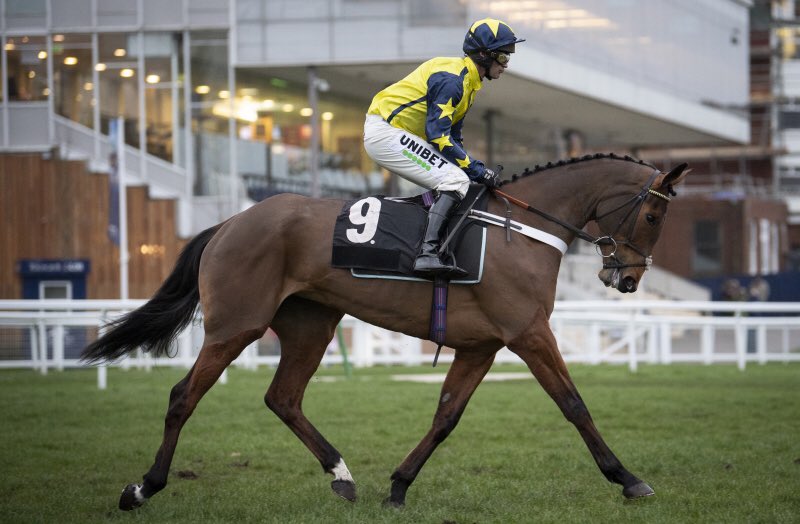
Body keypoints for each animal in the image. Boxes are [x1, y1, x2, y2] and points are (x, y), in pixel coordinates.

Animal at [84, 152, 692, 512]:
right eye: (654, 217)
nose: (628, 278)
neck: (524, 228)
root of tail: (232, 221)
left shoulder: (481, 345)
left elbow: (445, 417)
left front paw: (399, 485)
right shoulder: (528, 332)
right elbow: (574, 404)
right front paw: (627, 477)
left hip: (311, 323)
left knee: (283, 397)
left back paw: (341, 474)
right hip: (237, 324)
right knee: (183, 396)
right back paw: (143, 487)